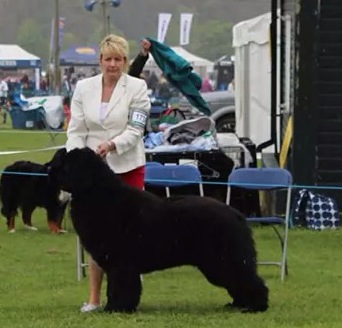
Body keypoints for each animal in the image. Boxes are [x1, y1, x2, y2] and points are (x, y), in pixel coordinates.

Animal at [49, 148, 268, 312]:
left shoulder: (121, 263)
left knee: (248, 280)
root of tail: (237, 215)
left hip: (224, 260)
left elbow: (120, 286)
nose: (50, 166)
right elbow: (116, 287)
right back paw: (237, 305)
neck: (96, 193)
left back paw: (255, 306)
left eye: (64, 162)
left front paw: (116, 308)